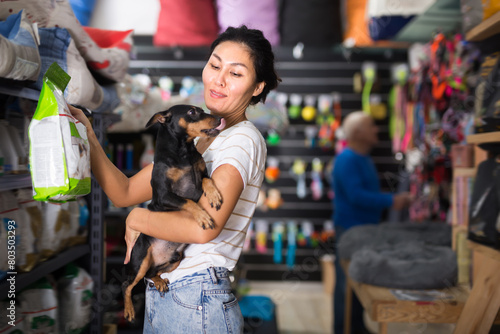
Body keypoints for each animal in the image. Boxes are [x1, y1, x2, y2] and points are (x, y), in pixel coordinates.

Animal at [124, 103, 226, 320]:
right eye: (192, 112)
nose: (219, 118)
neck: (184, 152)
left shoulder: (200, 175)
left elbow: (207, 180)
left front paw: (213, 195)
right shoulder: (163, 197)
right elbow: (187, 201)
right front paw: (203, 217)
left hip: (175, 259)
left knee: (151, 274)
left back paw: (159, 281)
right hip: (141, 259)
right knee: (128, 283)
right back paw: (128, 309)